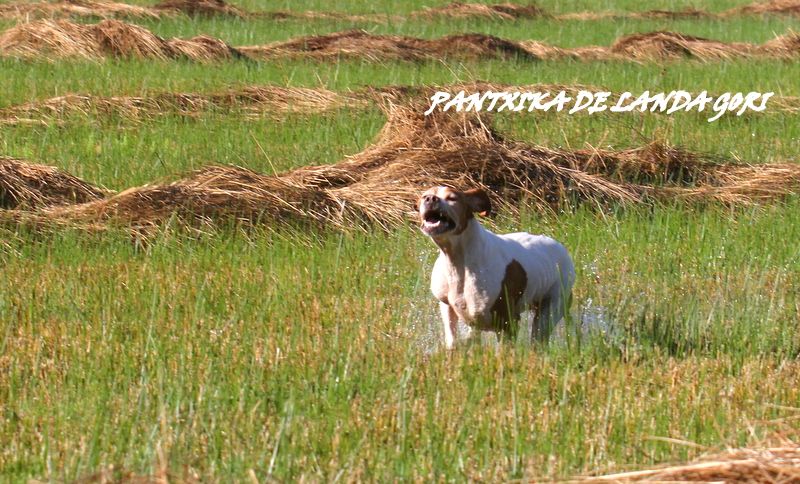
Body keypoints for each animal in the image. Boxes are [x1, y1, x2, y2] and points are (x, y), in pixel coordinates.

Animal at [418, 185, 576, 348]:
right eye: (424, 195)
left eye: (452, 198)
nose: (430, 198)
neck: (459, 260)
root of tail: (561, 248)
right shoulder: (449, 309)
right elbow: (455, 339)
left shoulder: (507, 322)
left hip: (552, 306)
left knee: (539, 337)